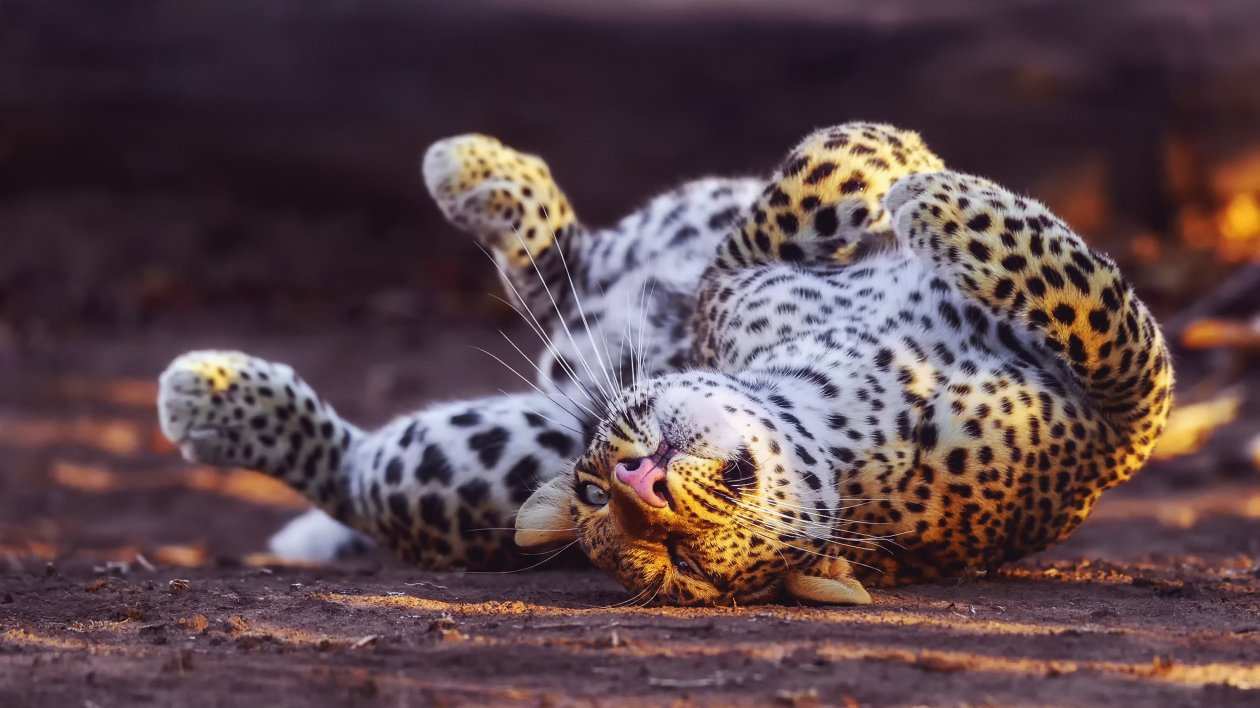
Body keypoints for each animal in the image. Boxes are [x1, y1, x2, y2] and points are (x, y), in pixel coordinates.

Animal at [158, 122, 1173, 606]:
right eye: (599, 497)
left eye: (673, 551)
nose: (640, 481)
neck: (836, 414)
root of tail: (567, 372)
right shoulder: (736, 283)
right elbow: (815, 175)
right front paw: (916, 178)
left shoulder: (1115, 433)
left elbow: (1102, 319)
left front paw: (922, 185)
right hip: (485, 443)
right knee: (365, 463)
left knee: (563, 284)